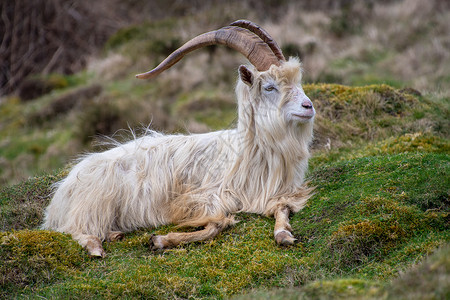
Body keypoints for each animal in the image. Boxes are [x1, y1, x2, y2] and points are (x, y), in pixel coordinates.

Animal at [44, 20, 314, 258]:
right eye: (269, 87)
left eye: (297, 81)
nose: (308, 106)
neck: (244, 153)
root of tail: (62, 192)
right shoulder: (202, 198)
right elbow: (217, 225)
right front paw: (160, 240)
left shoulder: (275, 192)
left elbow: (282, 207)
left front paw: (283, 234)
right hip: (93, 204)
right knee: (74, 229)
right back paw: (95, 248)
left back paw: (114, 235)